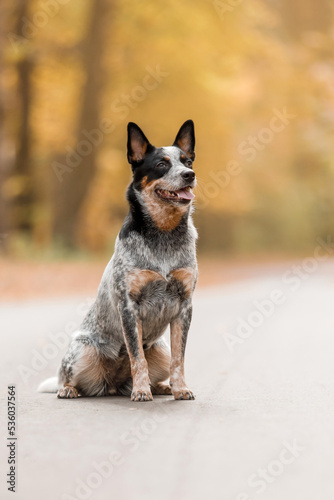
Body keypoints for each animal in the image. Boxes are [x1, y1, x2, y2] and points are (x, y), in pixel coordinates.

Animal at [37, 121, 197, 402]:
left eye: (187, 160)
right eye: (161, 164)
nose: (190, 174)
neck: (164, 235)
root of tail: (111, 384)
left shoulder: (185, 306)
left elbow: (179, 359)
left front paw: (180, 389)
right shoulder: (129, 306)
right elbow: (137, 357)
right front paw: (141, 391)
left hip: (160, 348)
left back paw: (161, 386)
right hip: (82, 349)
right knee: (66, 377)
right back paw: (69, 389)